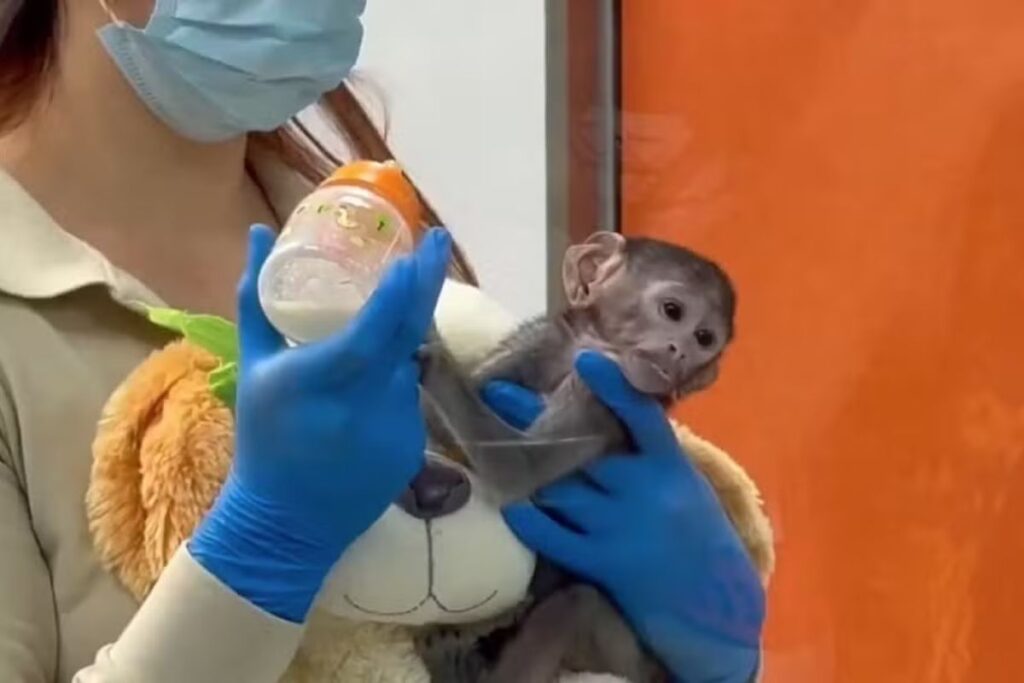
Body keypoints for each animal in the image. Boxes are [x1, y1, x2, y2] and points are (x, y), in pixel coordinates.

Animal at [414, 231, 736, 682]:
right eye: (673, 311)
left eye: (704, 338)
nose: (680, 352)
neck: (591, 347)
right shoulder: (540, 341)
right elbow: (440, 424)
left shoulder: (604, 389)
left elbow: (519, 470)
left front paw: (433, 348)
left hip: (620, 659)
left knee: (574, 607)